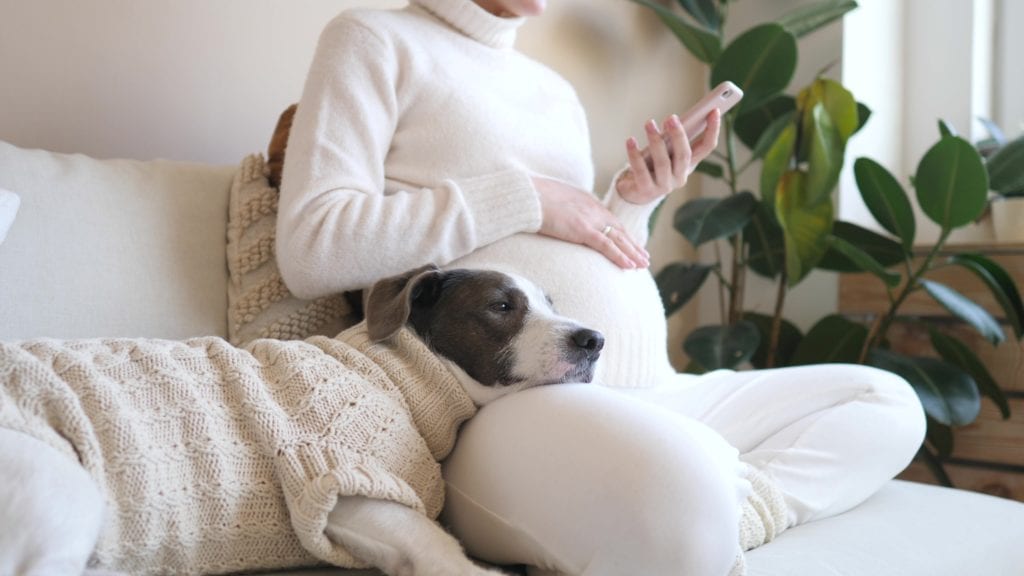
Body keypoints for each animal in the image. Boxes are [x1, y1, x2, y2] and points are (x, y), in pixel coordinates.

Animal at [0, 264, 602, 573]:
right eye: (502, 306)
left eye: (551, 303)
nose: (596, 339)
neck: (400, 374)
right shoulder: (335, 474)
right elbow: (439, 547)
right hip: (65, 498)